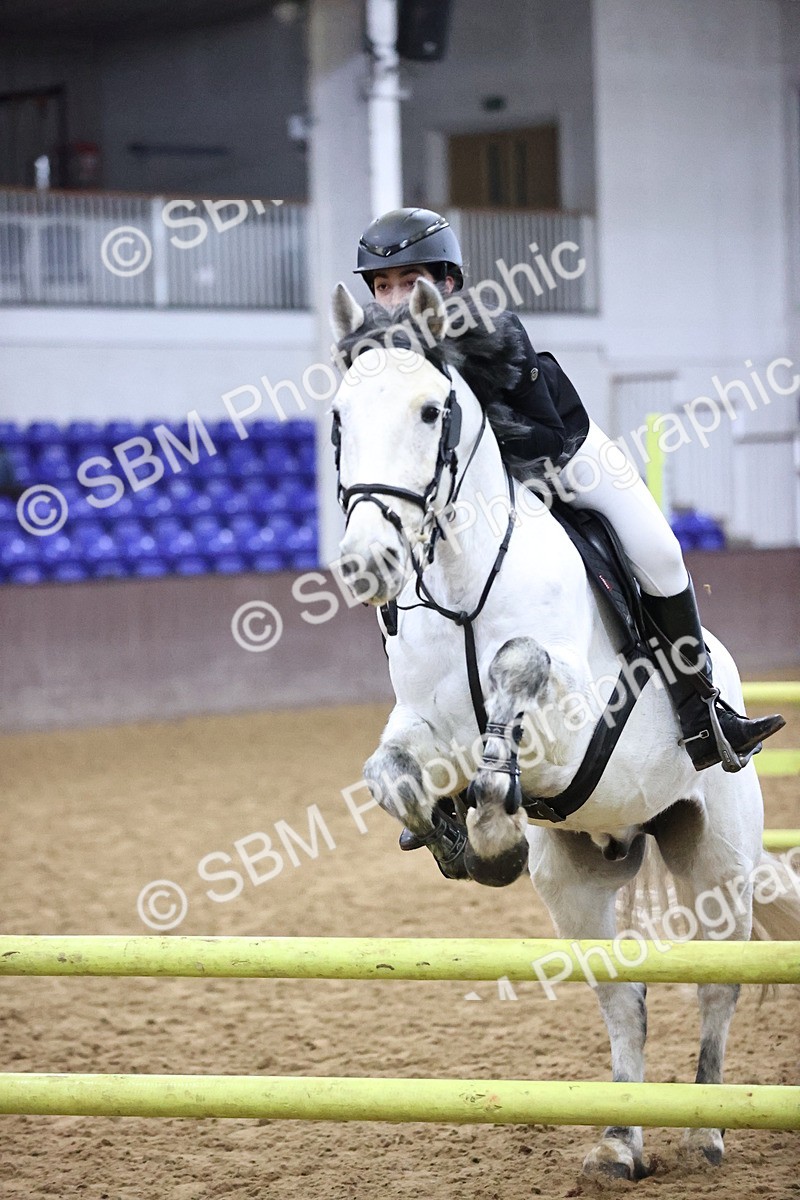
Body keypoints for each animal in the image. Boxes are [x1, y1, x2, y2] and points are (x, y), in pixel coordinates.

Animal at [328, 277, 799, 1180]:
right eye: (339, 415)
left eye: (432, 410)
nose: (368, 562)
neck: (462, 583)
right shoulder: (421, 729)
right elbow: (391, 772)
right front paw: (463, 840)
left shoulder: (579, 716)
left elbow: (520, 668)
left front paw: (489, 824)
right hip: (578, 883)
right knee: (625, 1000)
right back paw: (619, 1141)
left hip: (717, 860)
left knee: (716, 982)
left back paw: (707, 1130)